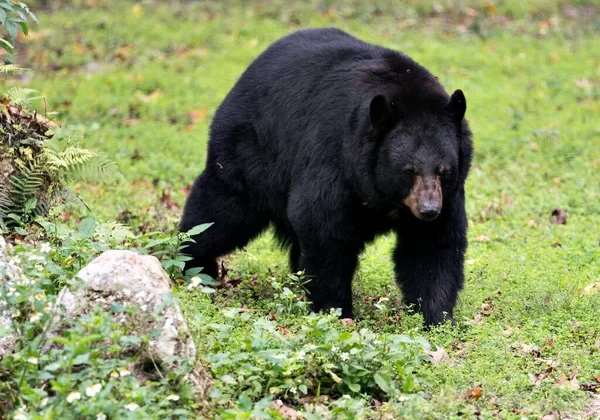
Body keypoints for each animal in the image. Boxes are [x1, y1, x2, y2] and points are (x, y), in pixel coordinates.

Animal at [179, 27, 474, 326]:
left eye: (444, 170)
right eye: (409, 170)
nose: (428, 210)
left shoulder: (448, 195)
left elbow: (431, 246)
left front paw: (436, 317)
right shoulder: (334, 157)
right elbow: (324, 226)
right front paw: (335, 309)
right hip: (250, 151)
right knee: (220, 210)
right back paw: (194, 264)